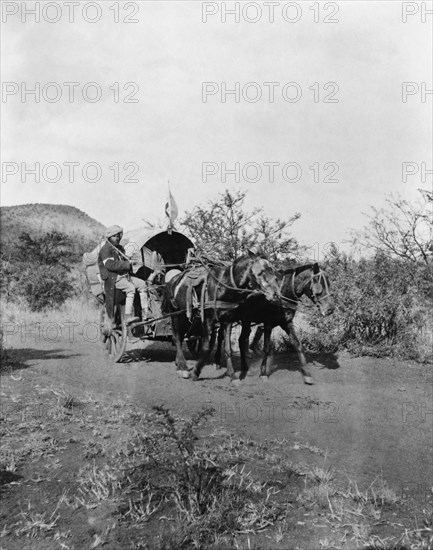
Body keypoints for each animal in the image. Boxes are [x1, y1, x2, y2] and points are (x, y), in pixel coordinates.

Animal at [162, 251, 280, 384]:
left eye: (273, 272)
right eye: (260, 272)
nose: (276, 295)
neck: (222, 287)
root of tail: (172, 281)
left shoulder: (228, 320)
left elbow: (228, 349)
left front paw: (233, 376)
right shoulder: (207, 320)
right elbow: (207, 347)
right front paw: (195, 372)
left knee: (181, 337)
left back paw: (179, 363)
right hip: (177, 314)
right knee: (177, 338)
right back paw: (182, 367)